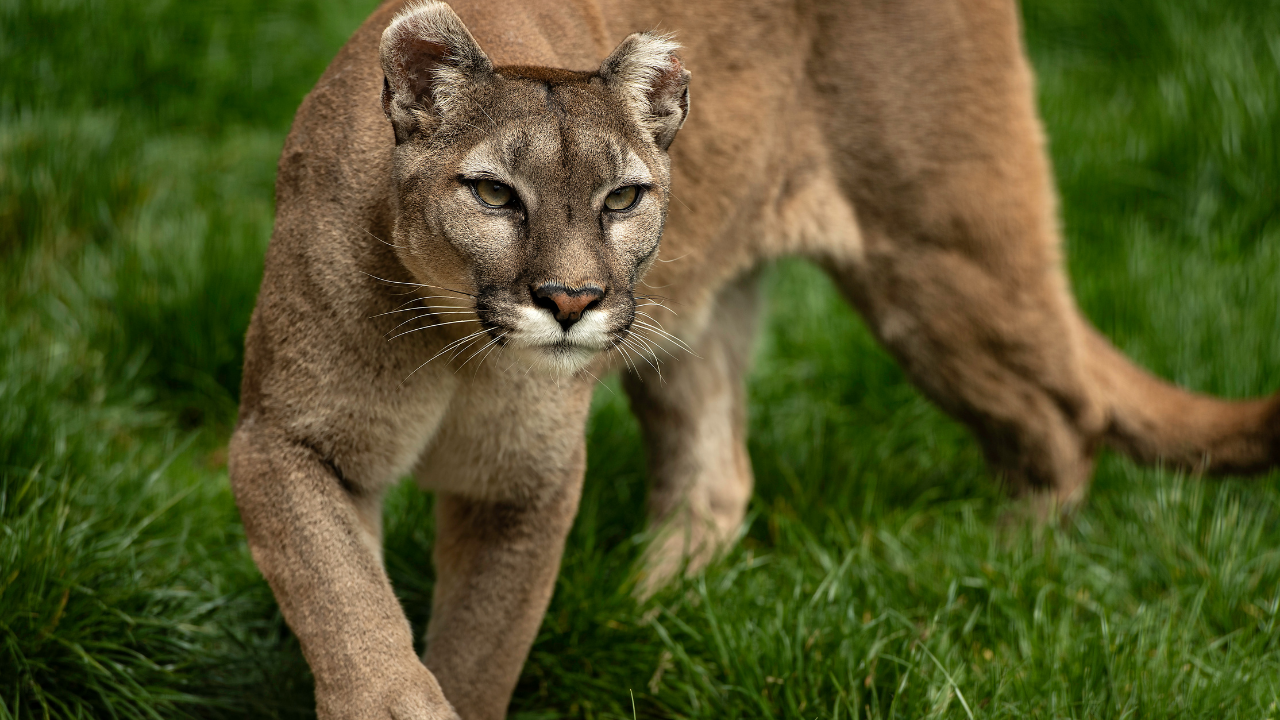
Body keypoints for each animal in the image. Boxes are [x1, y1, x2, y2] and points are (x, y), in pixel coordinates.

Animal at [227, 0, 1280, 717]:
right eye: (492, 193)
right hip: (697, 319)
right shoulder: (285, 439)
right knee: (719, 473)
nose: (571, 301)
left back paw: (1006, 565)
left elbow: (481, 649)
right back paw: (646, 614)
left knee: (1064, 417)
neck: (457, 345)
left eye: (622, 197)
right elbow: (350, 612)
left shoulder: (522, 481)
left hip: (937, 257)